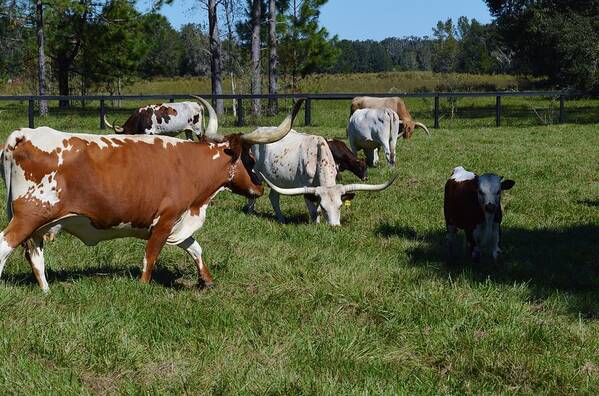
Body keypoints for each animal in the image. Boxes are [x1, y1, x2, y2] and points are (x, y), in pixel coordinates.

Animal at [0, 98, 304, 290]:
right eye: (250, 159)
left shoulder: (180, 221)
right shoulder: (165, 220)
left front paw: (206, 280)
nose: (259, 187)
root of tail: (22, 134)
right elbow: (151, 256)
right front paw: (143, 287)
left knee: (35, 256)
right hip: (28, 216)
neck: (192, 165)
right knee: (5, 246)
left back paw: (47, 291)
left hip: (39, 225)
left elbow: (195, 247)